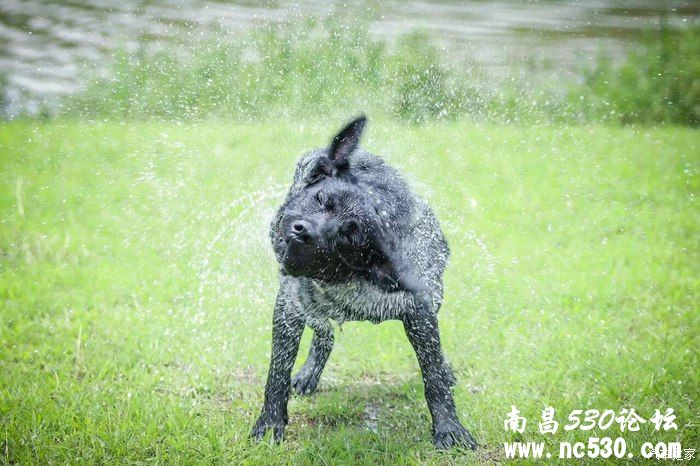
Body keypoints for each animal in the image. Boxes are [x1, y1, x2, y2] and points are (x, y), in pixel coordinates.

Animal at [250, 114, 476, 450]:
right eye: (321, 198)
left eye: (347, 236)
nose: (304, 231)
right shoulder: (291, 302)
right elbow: (278, 369)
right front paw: (270, 421)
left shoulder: (419, 308)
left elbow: (433, 372)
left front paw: (449, 426)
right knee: (323, 331)